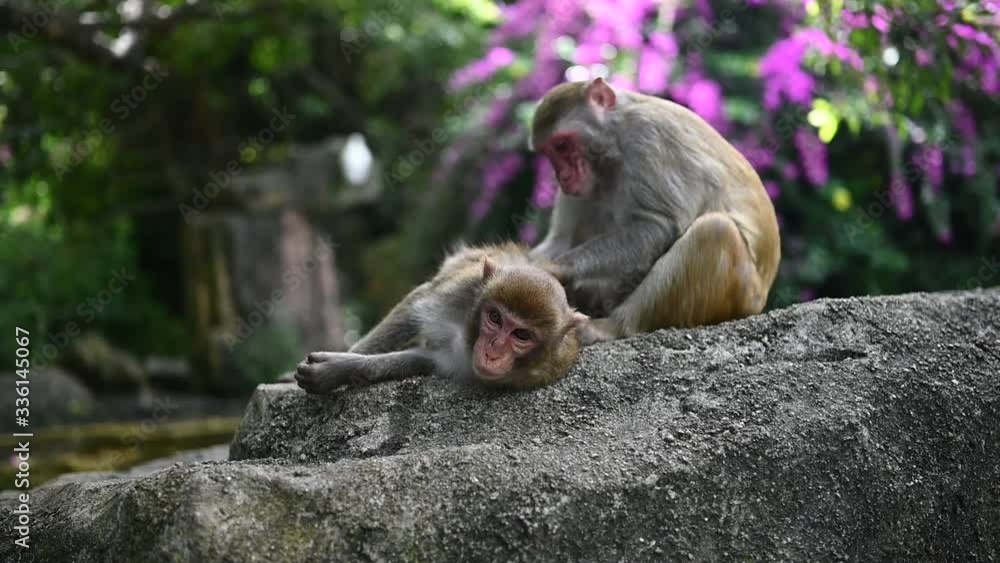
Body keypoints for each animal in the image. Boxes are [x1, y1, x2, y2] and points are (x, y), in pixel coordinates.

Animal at [294, 243, 588, 393]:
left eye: (521, 335)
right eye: (495, 317)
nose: (493, 351)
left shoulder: (542, 372)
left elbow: (421, 359)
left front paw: (337, 370)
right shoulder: (463, 288)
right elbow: (414, 309)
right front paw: (346, 357)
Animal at [529, 77, 781, 344]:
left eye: (562, 145)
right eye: (549, 152)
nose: (563, 177)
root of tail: (760, 300)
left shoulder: (646, 136)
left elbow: (658, 225)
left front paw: (554, 269)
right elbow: (561, 240)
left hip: (740, 295)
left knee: (715, 231)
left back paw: (614, 326)